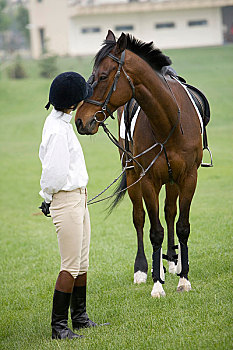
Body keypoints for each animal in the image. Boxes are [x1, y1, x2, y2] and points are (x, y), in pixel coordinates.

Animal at [75, 30, 203, 298]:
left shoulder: (188, 177)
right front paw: (156, 284)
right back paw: (145, 269)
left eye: (103, 76)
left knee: (169, 212)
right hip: (134, 177)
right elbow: (154, 230)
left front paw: (184, 278)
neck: (168, 123)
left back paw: (172, 262)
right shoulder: (148, 180)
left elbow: (182, 225)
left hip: (172, 180)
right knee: (140, 218)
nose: (80, 120)